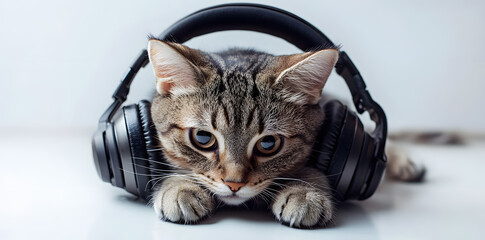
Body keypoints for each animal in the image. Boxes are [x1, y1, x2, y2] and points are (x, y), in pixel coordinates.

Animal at [145, 38, 424, 228]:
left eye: (268, 143)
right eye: (203, 138)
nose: (234, 184)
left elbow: (308, 170)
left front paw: (304, 192)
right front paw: (179, 187)